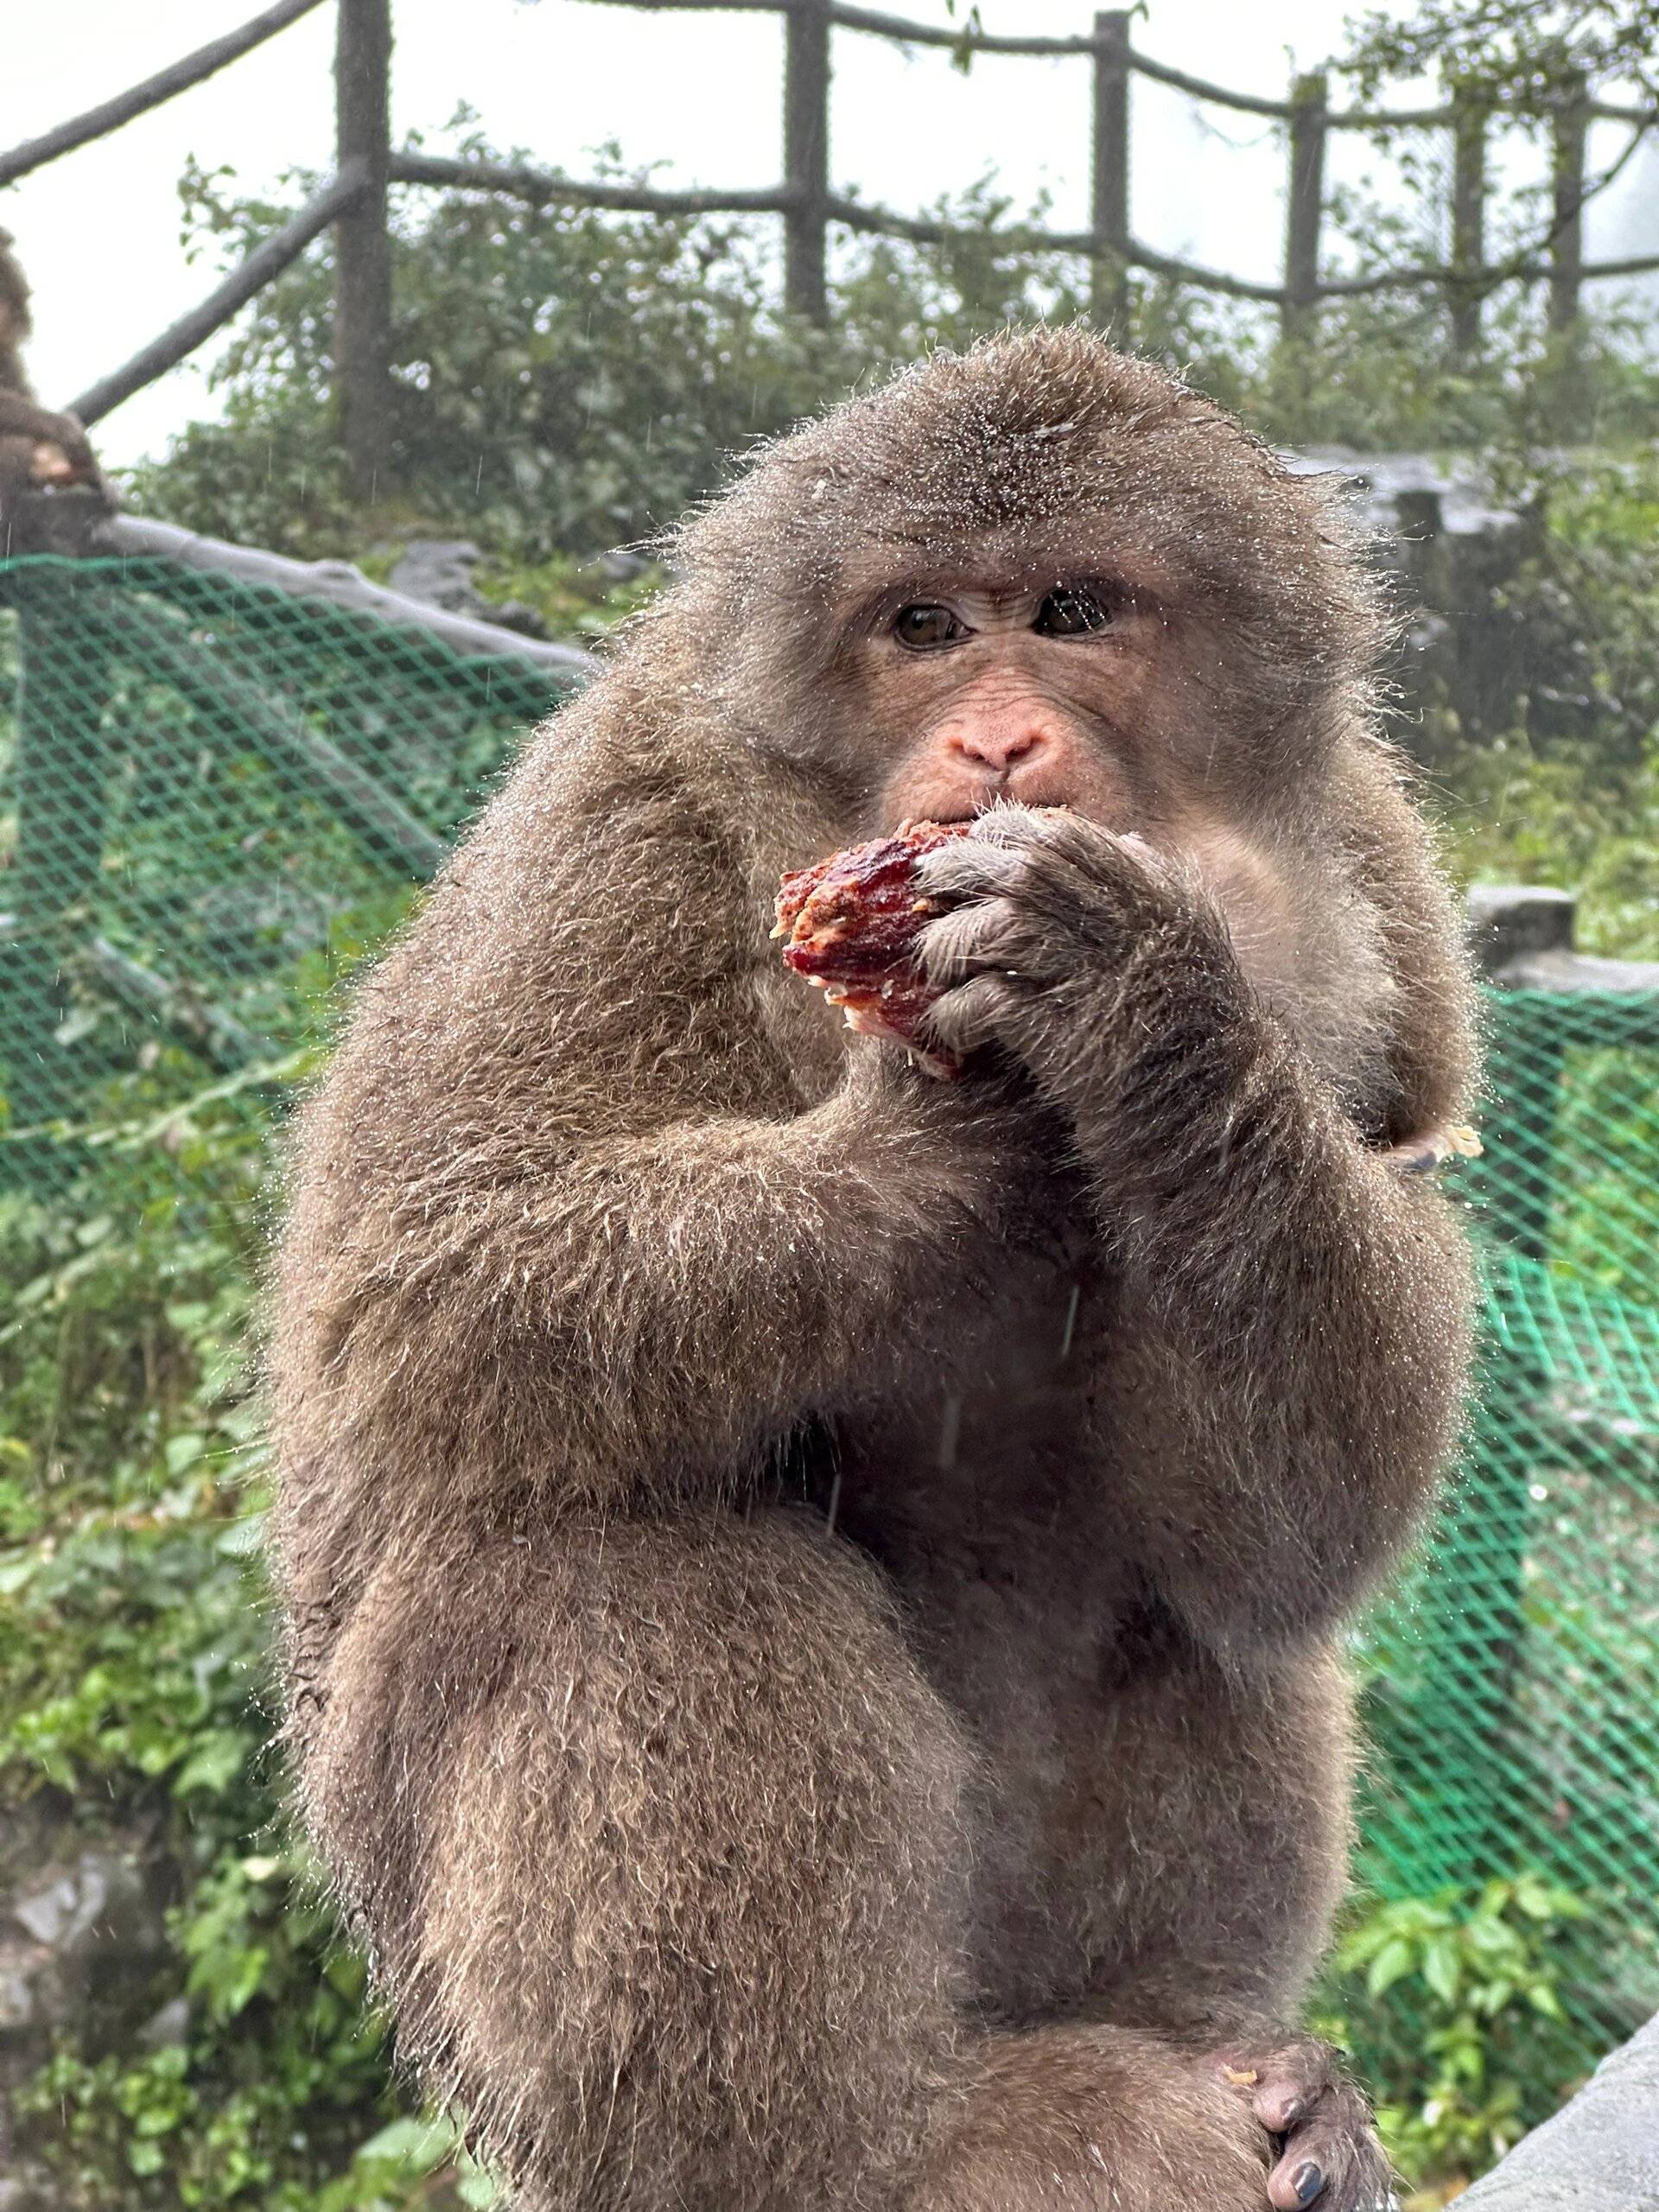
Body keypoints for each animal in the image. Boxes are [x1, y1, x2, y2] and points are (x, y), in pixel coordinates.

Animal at [273, 327, 1478, 2212]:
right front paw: (946, 1134)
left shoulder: (1375, 883)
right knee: (624, 1551)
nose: (994, 736)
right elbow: (416, 1288)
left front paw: (1159, 1013)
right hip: (468, 1993)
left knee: (1200, 1606)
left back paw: (1233, 2058)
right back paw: (878, 2145)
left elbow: (1308, 1515)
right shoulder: (622, 815)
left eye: (1071, 609)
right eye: (921, 625)